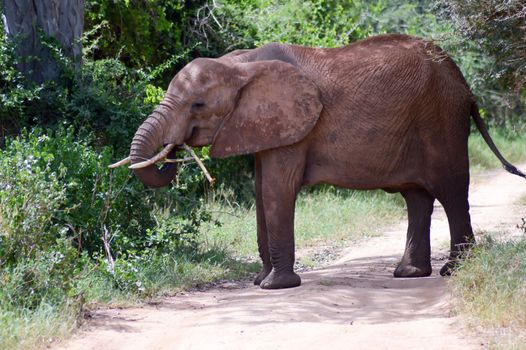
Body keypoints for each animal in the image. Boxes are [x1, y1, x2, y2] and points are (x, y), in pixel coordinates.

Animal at [109, 33, 524, 290]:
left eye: (198, 104)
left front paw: (275, 287)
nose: (174, 150)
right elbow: (262, 191)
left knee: (451, 191)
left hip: (441, 118)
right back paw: (409, 274)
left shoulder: (295, 127)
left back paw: (454, 271)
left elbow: (276, 190)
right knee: (416, 196)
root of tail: (465, 84)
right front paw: (261, 282)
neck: (240, 64)